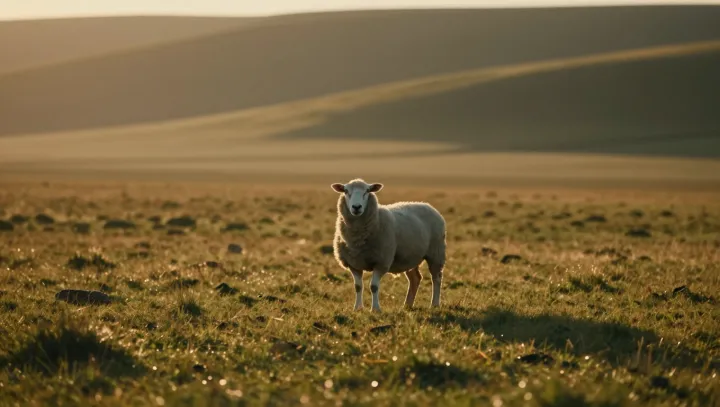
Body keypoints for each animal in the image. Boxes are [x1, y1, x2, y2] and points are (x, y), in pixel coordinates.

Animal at [330, 178, 447, 312]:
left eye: (367, 191)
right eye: (346, 191)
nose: (356, 207)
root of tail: (427, 205)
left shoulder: (381, 262)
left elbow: (374, 286)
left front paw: (375, 309)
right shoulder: (354, 264)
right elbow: (358, 286)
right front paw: (357, 308)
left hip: (436, 253)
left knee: (436, 278)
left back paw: (434, 304)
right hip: (410, 257)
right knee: (415, 278)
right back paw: (407, 305)